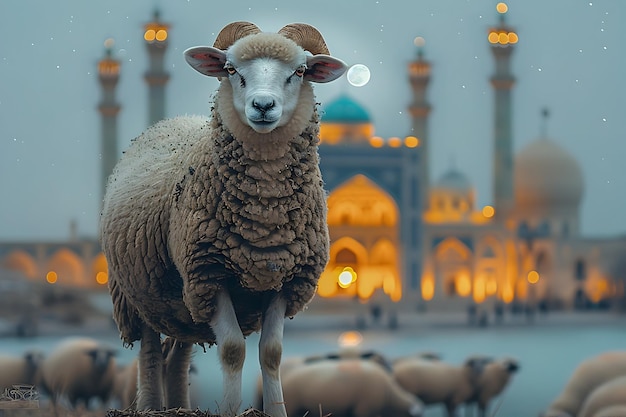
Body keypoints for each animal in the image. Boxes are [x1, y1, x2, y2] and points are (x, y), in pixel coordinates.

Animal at [100, 20, 348, 416]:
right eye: (231, 70)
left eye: (299, 71)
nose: (263, 106)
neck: (264, 217)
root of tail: (169, 121)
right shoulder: (210, 273)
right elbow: (232, 350)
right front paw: (231, 410)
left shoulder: (286, 279)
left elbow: (272, 353)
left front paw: (277, 410)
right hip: (139, 293)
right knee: (151, 354)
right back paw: (152, 406)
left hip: (183, 303)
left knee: (176, 357)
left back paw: (180, 405)